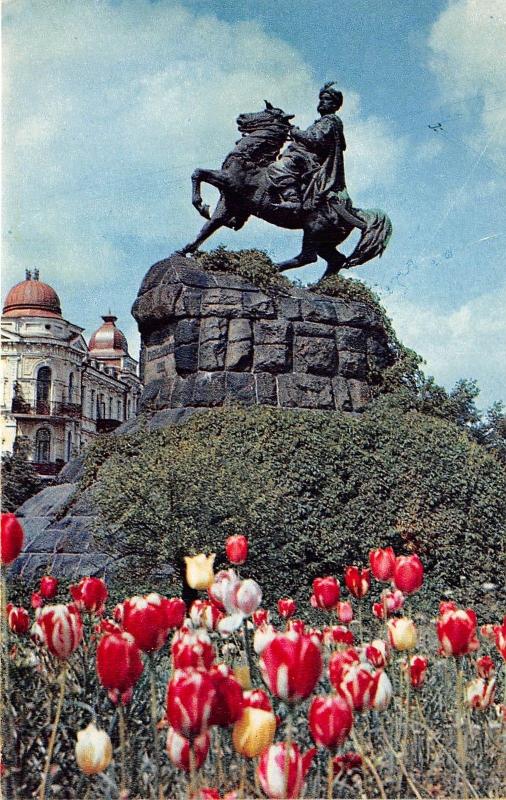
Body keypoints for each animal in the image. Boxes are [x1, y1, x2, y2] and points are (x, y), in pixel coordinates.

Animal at [180, 100, 394, 276]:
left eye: (267, 112)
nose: (241, 116)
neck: (251, 158)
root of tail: (352, 211)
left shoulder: (227, 181)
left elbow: (198, 173)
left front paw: (200, 205)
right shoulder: (229, 201)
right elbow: (210, 225)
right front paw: (186, 249)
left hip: (314, 231)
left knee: (309, 257)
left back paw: (274, 267)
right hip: (325, 240)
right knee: (335, 260)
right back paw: (316, 287)